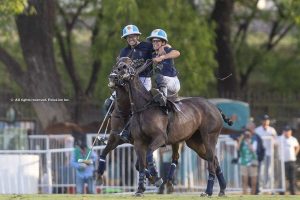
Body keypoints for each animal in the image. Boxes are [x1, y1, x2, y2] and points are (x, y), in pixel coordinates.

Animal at [113, 57, 229, 197]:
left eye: (130, 63)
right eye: (118, 64)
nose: (119, 70)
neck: (143, 107)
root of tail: (215, 107)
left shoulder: (160, 138)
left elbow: (149, 154)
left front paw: (157, 178)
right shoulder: (139, 142)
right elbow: (141, 165)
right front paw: (140, 189)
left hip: (209, 137)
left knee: (211, 161)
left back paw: (208, 191)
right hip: (195, 142)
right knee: (214, 160)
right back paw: (221, 189)